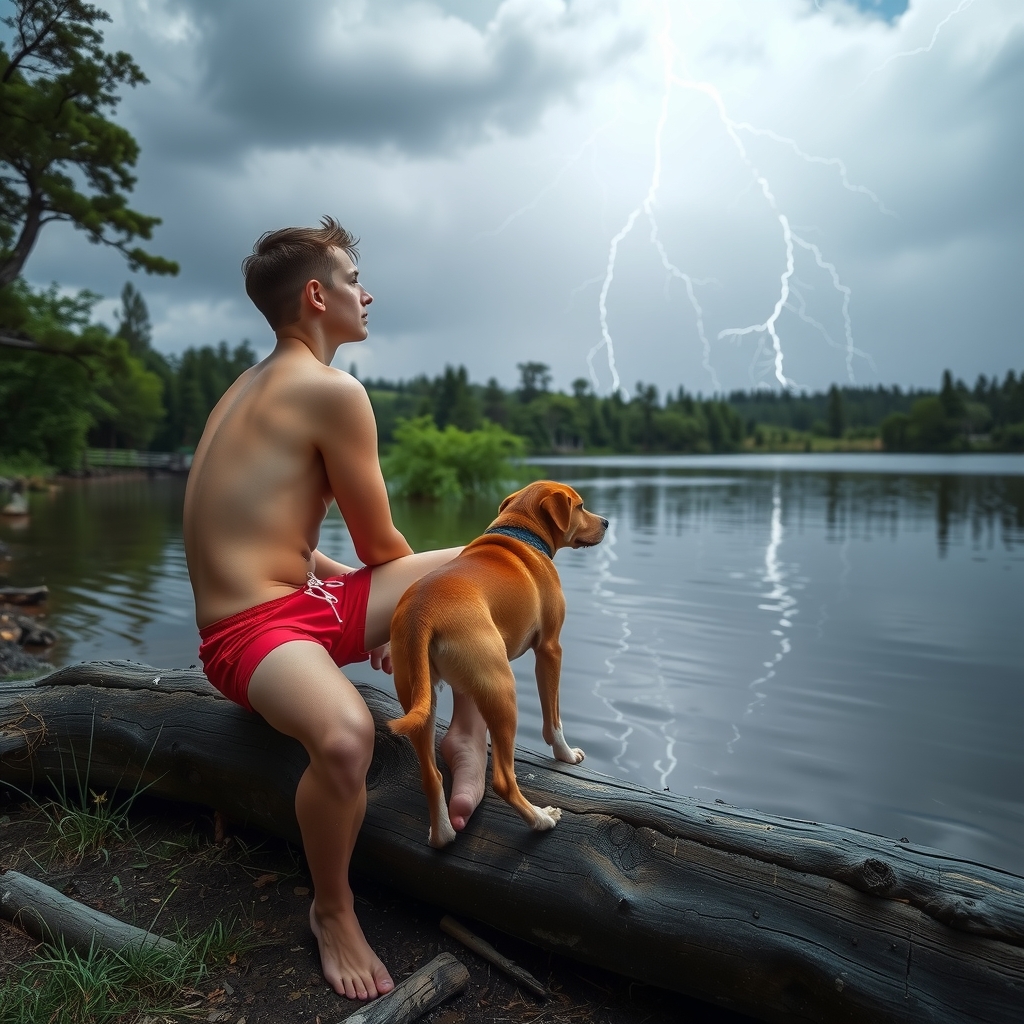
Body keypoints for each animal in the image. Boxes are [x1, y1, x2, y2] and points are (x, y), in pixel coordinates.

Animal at [387, 479, 602, 847]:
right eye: (581, 506)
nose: (606, 523)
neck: (520, 532)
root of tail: (421, 614)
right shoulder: (550, 649)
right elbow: (553, 718)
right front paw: (566, 754)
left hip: (418, 699)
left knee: (431, 776)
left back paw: (442, 834)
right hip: (501, 688)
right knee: (503, 779)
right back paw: (541, 819)